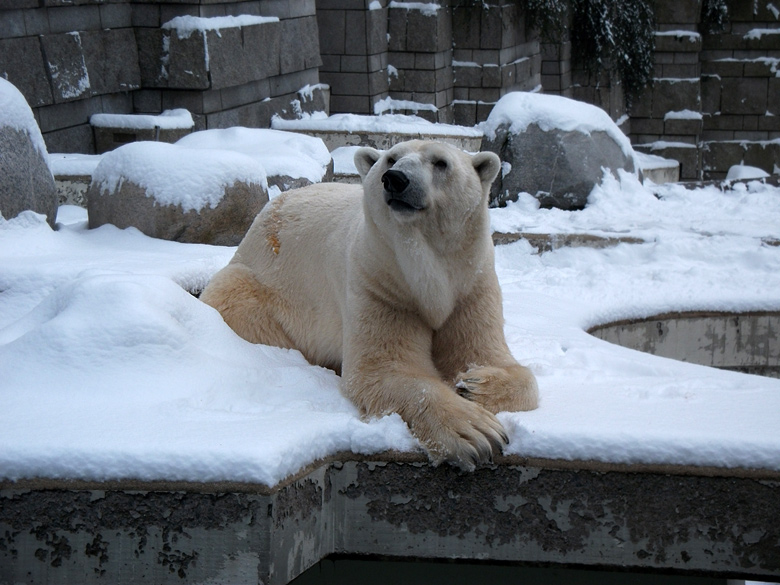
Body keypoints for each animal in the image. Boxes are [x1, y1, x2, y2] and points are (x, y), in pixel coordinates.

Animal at [200, 139, 536, 468]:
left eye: (441, 162)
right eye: (391, 159)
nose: (396, 179)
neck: (426, 273)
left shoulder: (471, 285)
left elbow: (489, 357)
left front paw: (474, 384)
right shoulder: (380, 282)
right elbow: (382, 371)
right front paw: (476, 433)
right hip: (259, 284)